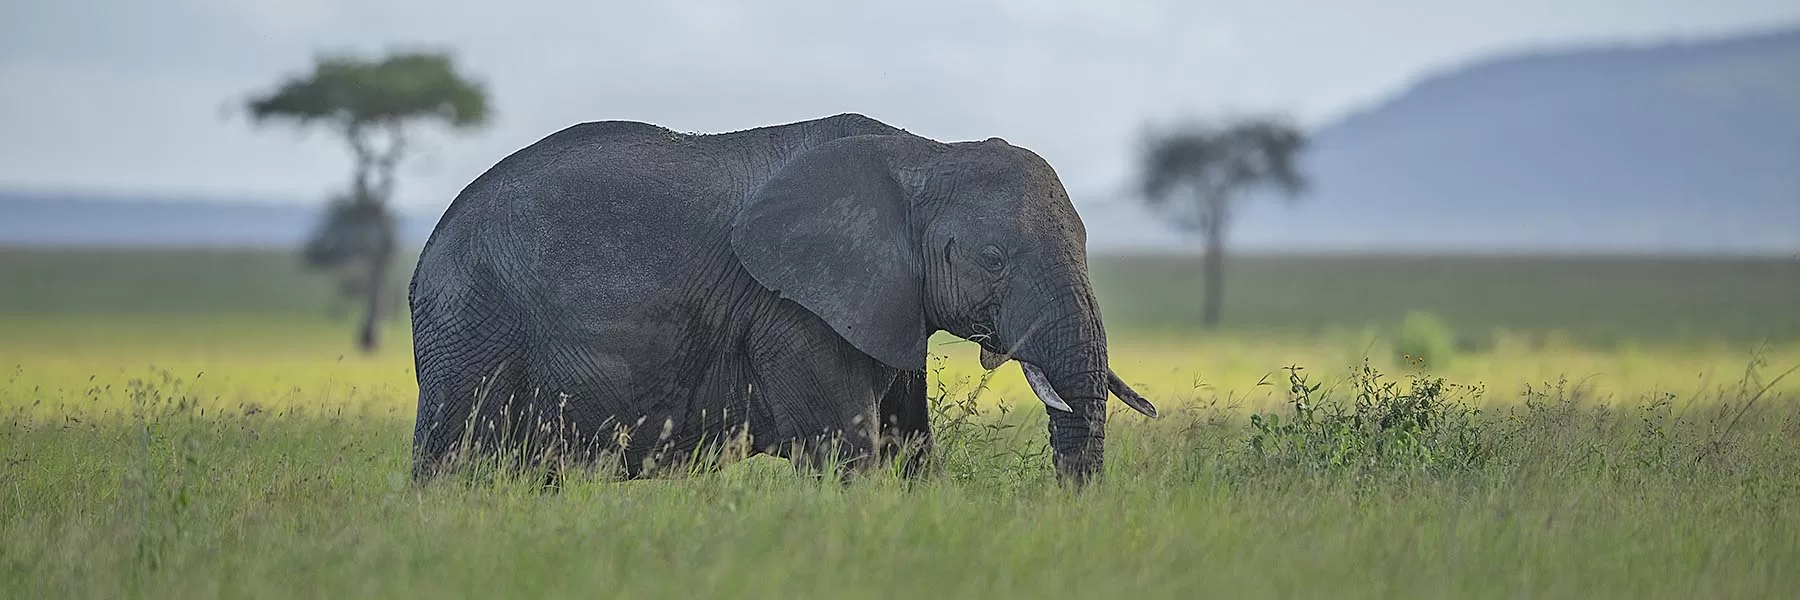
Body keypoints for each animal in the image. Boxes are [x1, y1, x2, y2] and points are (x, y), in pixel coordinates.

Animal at [406, 113, 1152, 486]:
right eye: (992, 261)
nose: (1069, 510)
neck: (925, 154)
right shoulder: (794, 311)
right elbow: (850, 452)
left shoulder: (883, 299)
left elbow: (910, 447)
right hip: (472, 320)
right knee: (455, 457)